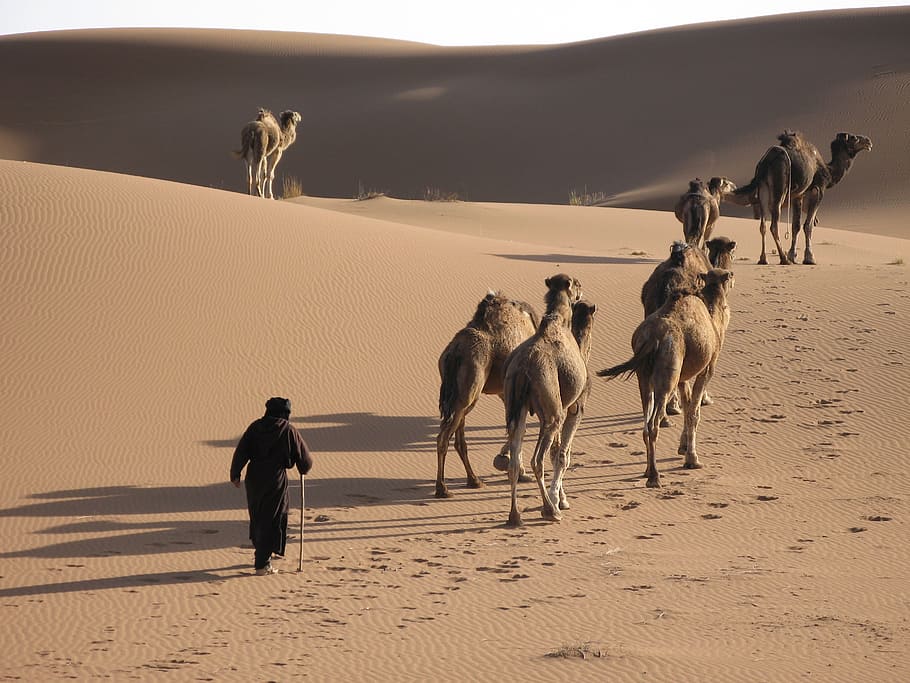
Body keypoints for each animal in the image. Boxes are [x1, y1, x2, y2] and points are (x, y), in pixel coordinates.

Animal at [435, 291, 539, 498]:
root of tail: (454, 352)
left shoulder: (504, 392)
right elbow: (519, 429)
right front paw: (519, 472)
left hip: (460, 395)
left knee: (459, 439)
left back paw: (474, 480)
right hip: (469, 390)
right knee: (444, 437)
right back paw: (442, 489)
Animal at [501, 281, 593, 527]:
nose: (582, 294)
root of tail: (523, 369)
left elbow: (556, 453)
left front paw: (560, 497)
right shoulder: (575, 408)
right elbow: (562, 456)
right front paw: (560, 500)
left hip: (517, 406)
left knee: (515, 460)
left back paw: (515, 516)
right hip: (551, 412)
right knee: (537, 460)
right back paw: (549, 511)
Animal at [598, 268, 734, 488]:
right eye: (729, 276)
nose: (731, 275)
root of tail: (652, 338)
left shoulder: (683, 377)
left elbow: (687, 407)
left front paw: (684, 448)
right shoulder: (707, 368)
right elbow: (694, 412)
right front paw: (692, 460)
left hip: (644, 377)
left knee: (646, 423)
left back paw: (647, 471)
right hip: (668, 373)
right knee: (654, 423)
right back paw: (654, 477)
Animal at [731, 130, 872, 265]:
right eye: (854, 138)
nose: (869, 142)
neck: (828, 171)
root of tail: (765, 162)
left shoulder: (798, 196)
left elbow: (796, 225)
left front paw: (793, 256)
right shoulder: (818, 190)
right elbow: (808, 226)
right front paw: (809, 258)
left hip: (763, 189)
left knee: (763, 225)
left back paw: (763, 259)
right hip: (780, 188)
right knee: (773, 225)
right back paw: (783, 259)